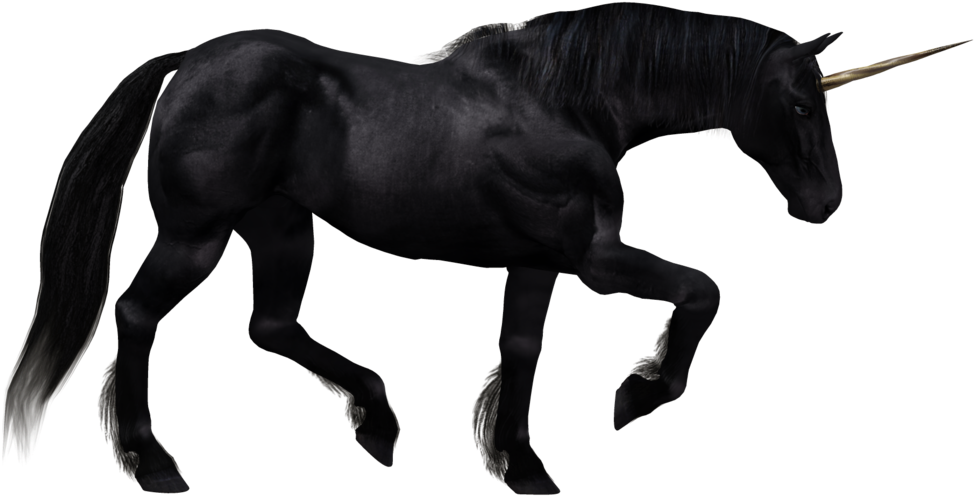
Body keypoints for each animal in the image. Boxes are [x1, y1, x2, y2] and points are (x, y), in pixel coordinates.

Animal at [3, 2, 969, 494]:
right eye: (802, 104)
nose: (826, 204)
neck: (564, 100)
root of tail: (188, 65)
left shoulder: (539, 265)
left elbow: (523, 349)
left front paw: (519, 462)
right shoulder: (595, 257)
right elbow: (703, 290)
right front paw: (638, 394)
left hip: (281, 229)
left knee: (270, 327)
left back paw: (378, 421)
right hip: (196, 235)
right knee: (136, 315)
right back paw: (150, 459)